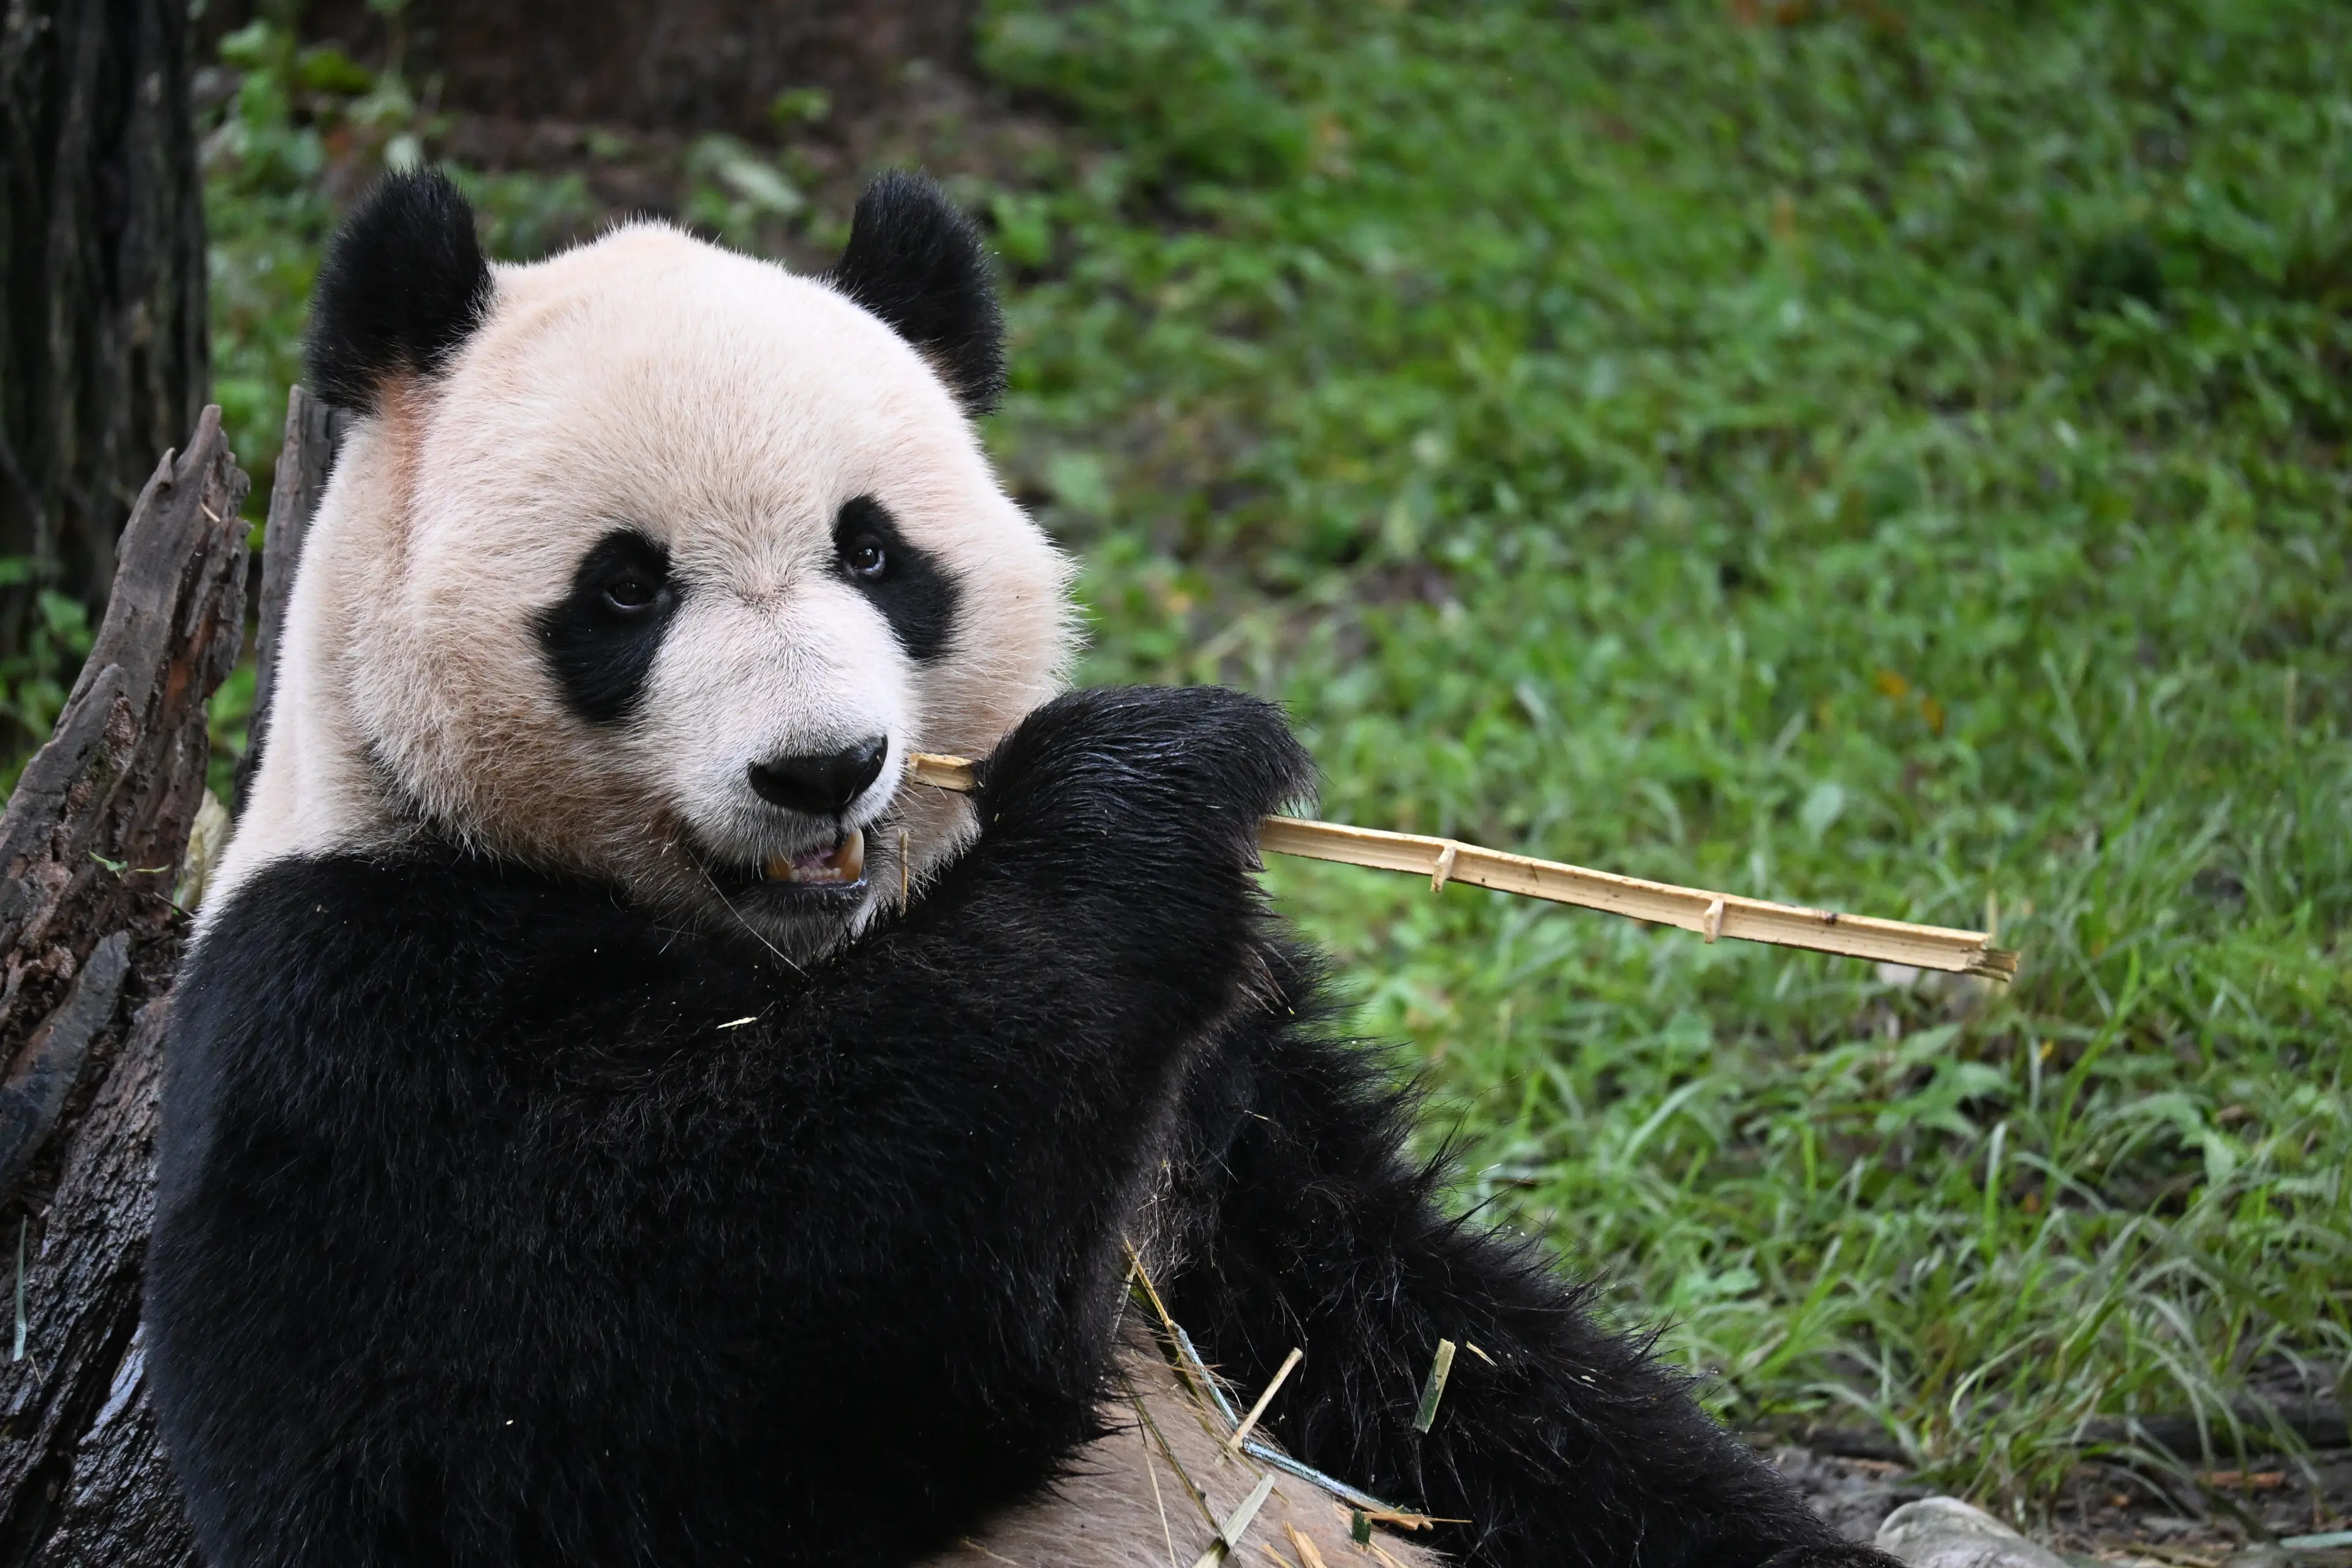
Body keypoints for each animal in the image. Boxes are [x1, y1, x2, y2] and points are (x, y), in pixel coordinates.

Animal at [144, 168, 1892, 1568]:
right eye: (624, 588)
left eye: (871, 550)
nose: (821, 765)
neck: (796, 948)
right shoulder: (351, 1002)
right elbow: (534, 1412)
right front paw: (1145, 787)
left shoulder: (1220, 1109)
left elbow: (1435, 1355)